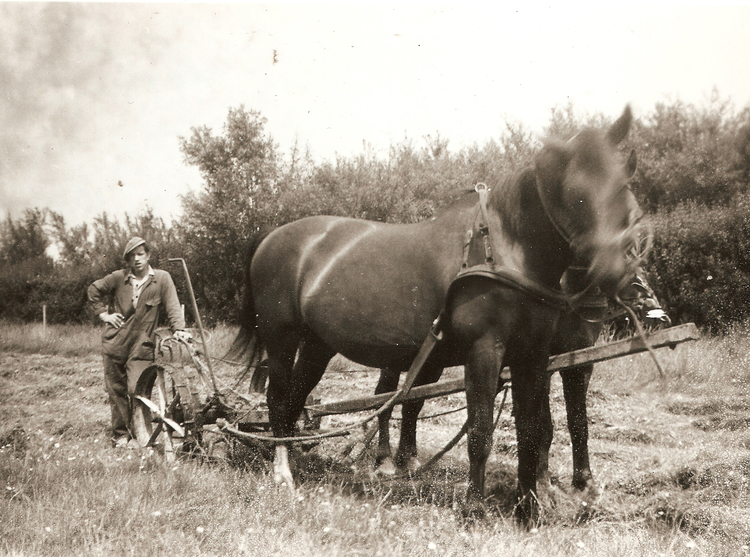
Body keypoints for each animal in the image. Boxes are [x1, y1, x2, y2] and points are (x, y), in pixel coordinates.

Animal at [232, 106, 644, 524]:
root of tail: (272, 235)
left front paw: (530, 508)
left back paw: (299, 460)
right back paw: (283, 473)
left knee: (298, 399)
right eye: (575, 192)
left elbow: (534, 430)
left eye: (625, 185)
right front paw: (475, 506)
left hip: (318, 346)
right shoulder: (484, 351)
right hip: (281, 337)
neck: (505, 249)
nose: (615, 273)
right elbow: (480, 431)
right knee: (278, 399)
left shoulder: (533, 354)